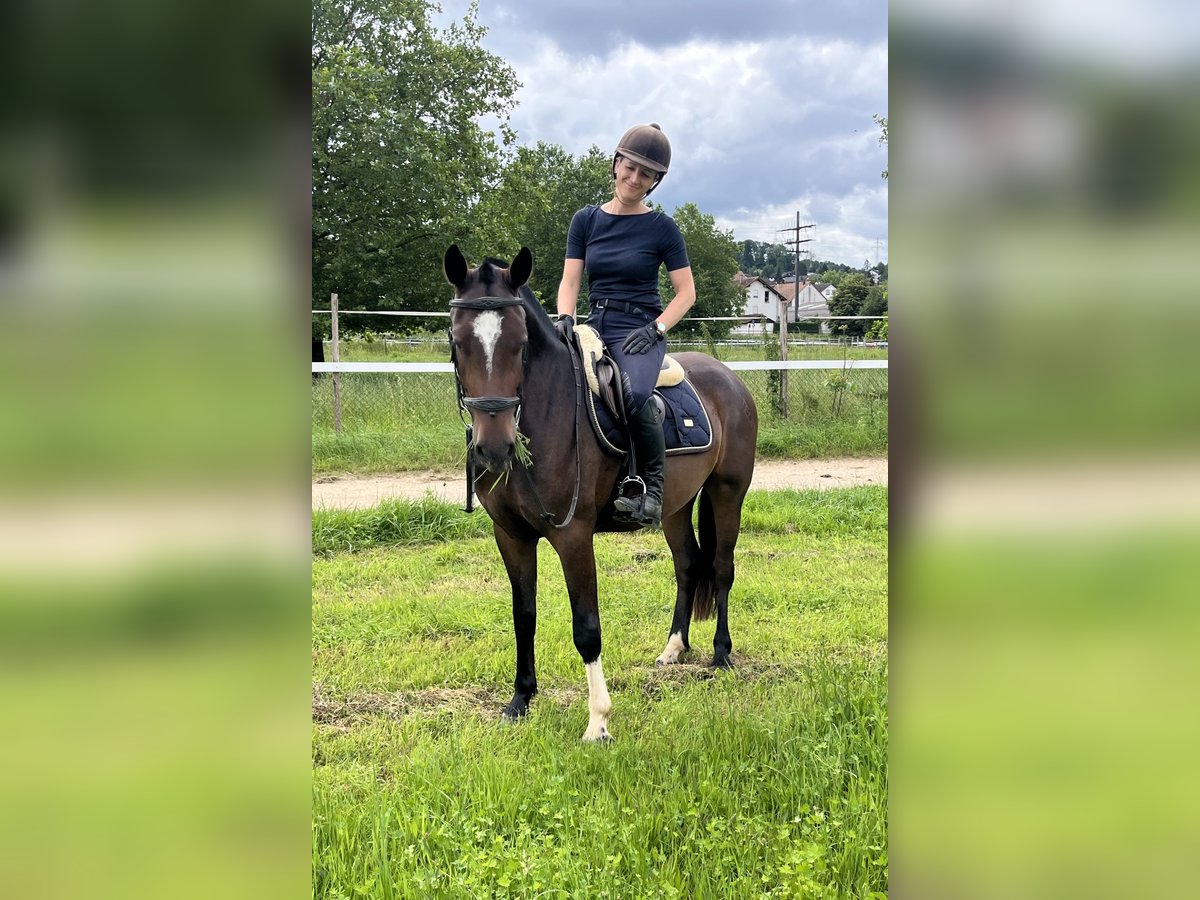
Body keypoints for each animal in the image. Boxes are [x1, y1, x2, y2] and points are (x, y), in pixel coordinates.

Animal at [441, 243, 758, 744]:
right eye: (457, 344)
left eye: (520, 345)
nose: (494, 448)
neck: (547, 413)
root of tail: (730, 379)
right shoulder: (510, 535)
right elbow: (523, 616)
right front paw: (520, 700)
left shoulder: (573, 535)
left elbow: (586, 627)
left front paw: (598, 721)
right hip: (675, 506)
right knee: (688, 565)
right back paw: (674, 648)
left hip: (728, 493)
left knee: (722, 569)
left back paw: (721, 654)